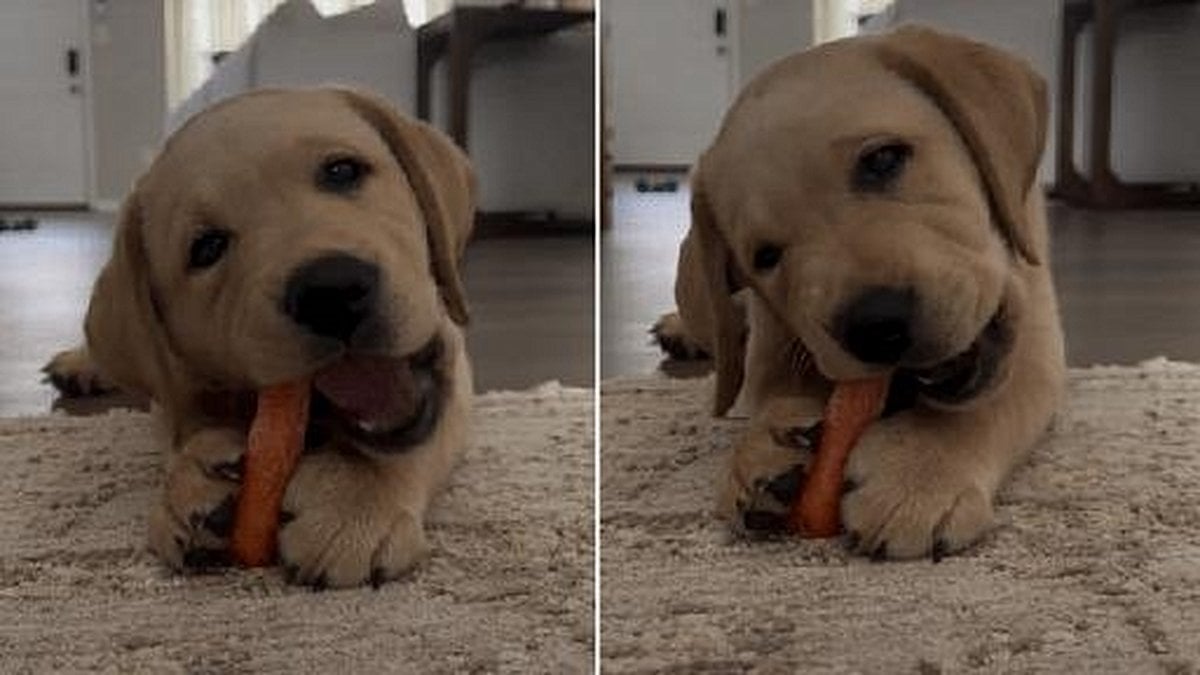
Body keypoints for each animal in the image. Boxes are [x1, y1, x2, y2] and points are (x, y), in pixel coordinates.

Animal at [44, 87, 475, 587]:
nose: (329, 292)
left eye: (342, 170)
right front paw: (192, 482)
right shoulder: (174, 394)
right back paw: (81, 363)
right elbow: (181, 428)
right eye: (207, 248)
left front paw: (357, 500)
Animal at [653, 26, 1066, 560]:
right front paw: (761, 450)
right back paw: (683, 329)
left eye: (883, 159)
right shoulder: (774, 344)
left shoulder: (1037, 337)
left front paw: (921, 476)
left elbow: (988, 402)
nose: (877, 326)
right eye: (764, 256)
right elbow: (769, 394)